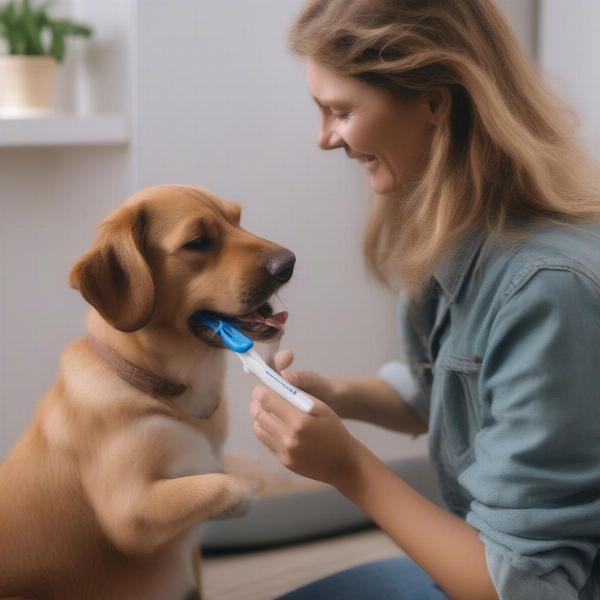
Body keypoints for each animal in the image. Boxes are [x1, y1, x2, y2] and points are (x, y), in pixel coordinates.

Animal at [0, 184, 296, 600]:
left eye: (237, 219)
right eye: (197, 241)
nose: (289, 263)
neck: (170, 395)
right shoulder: (129, 511)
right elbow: (215, 485)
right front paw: (244, 494)